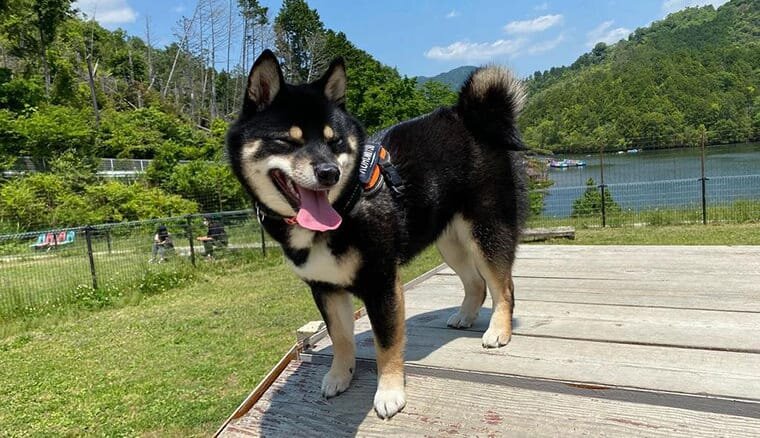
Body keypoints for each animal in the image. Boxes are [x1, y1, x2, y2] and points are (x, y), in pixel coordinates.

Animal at [227, 49, 528, 419]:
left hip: (485, 232)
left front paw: (389, 392)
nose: (329, 172)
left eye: (335, 141)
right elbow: (340, 338)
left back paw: (498, 330)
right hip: (450, 242)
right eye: (287, 140)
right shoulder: (325, 288)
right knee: (476, 283)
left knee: (504, 287)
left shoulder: (382, 282)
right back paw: (465, 316)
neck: (346, 205)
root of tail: (469, 118)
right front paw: (340, 376)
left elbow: (386, 343)